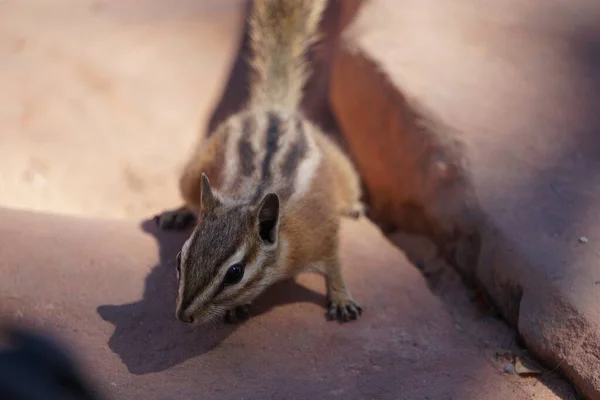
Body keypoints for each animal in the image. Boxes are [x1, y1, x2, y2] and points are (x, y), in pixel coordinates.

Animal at [155, 0, 366, 324]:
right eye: (180, 259)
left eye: (235, 273)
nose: (183, 316)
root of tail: (274, 108)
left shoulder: (323, 233)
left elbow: (335, 266)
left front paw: (342, 298)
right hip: (195, 169)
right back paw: (177, 212)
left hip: (343, 169)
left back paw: (353, 207)